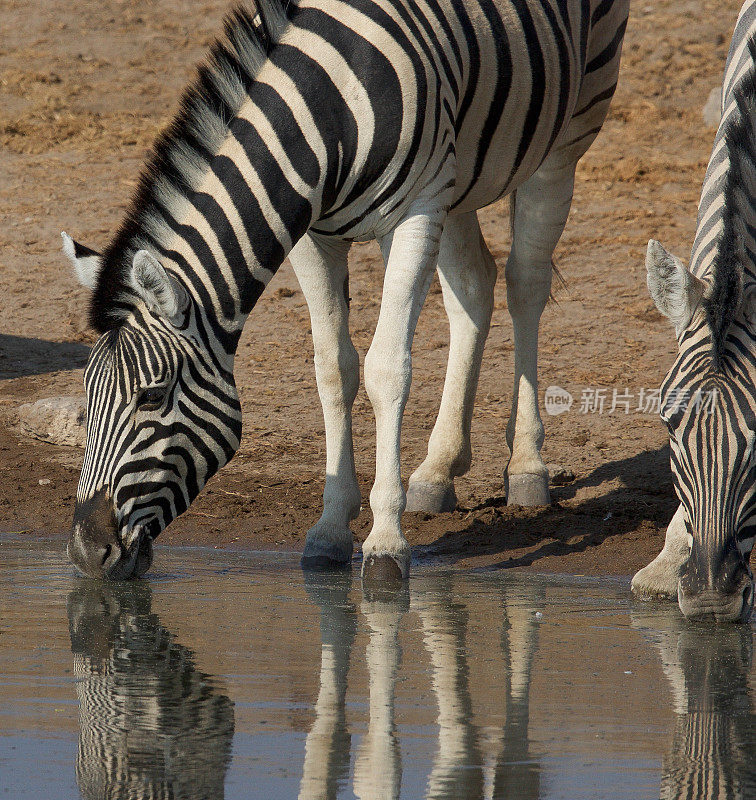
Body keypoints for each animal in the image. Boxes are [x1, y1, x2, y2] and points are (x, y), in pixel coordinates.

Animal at [63, 0, 632, 580]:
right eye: (85, 396)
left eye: (151, 397)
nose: (87, 551)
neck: (324, 113)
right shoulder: (313, 234)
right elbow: (333, 369)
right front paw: (331, 529)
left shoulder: (415, 211)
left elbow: (387, 368)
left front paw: (385, 542)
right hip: (461, 173)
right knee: (474, 286)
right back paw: (438, 470)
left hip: (571, 126)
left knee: (526, 284)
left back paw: (527, 467)